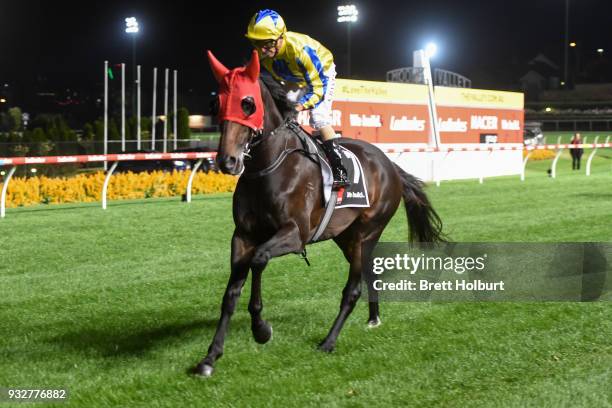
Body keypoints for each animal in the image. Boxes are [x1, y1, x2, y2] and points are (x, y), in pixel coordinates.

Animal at [194, 50, 442, 376]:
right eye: (216, 104)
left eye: (247, 103)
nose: (227, 161)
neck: (268, 166)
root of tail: (389, 165)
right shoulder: (243, 236)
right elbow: (230, 294)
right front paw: (210, 357)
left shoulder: (294, 235)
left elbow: (259, 260)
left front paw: (261, 328)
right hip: (346, 236)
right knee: (369, 273)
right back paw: (373, 318)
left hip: (367, 232)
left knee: (352, 289)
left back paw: (329, 341)